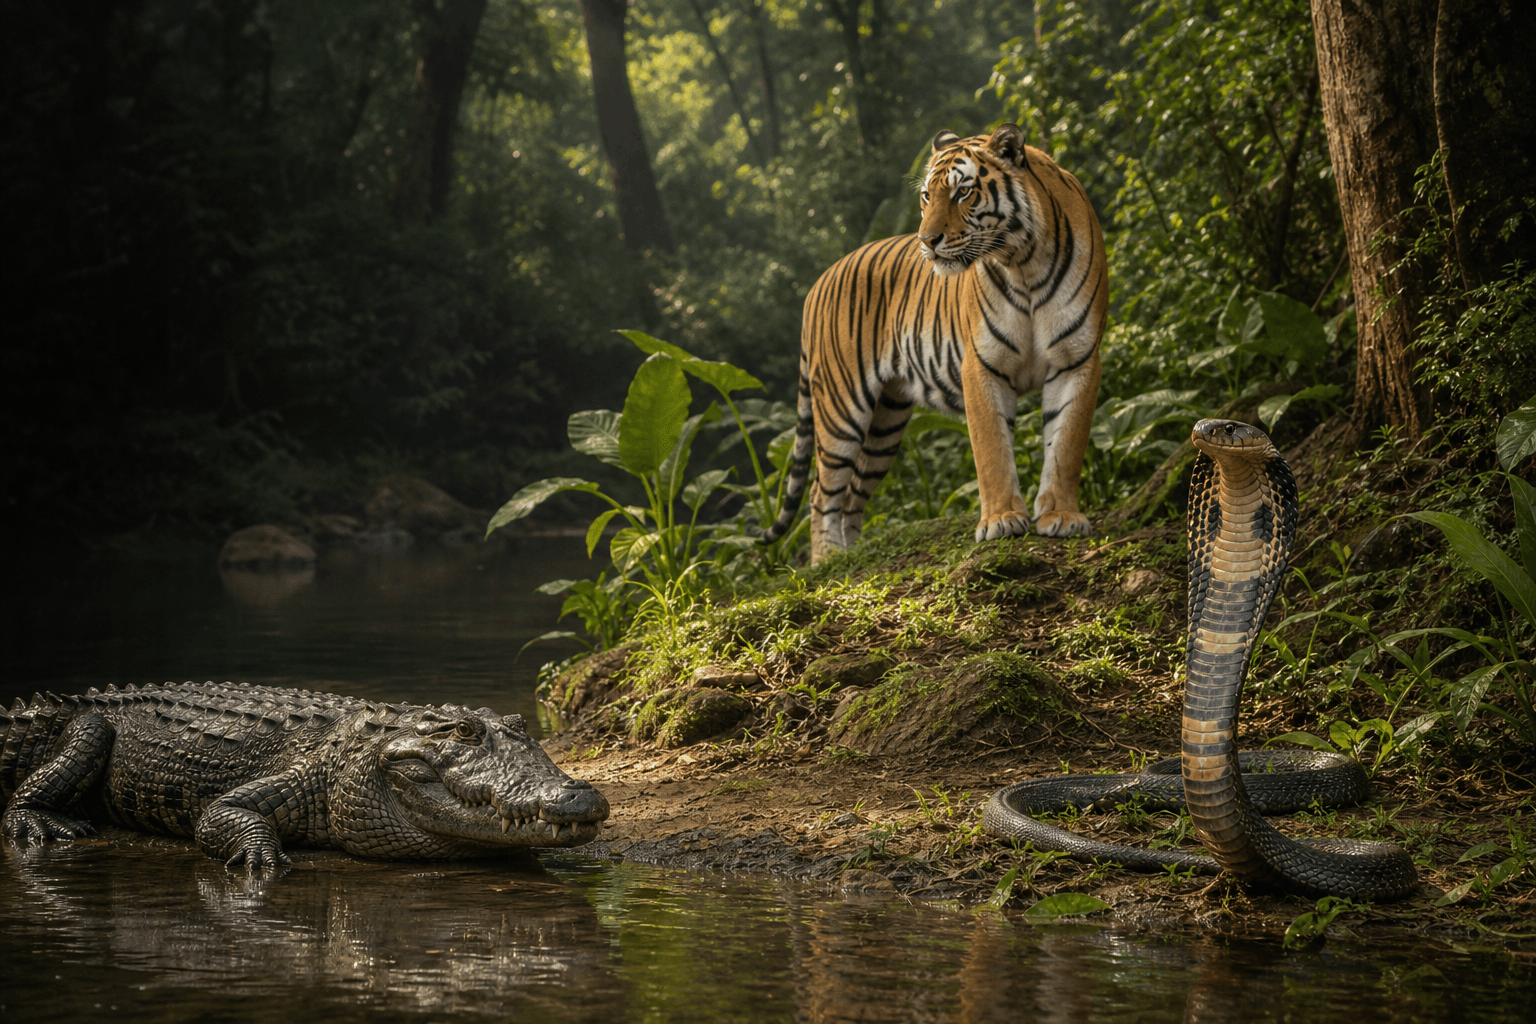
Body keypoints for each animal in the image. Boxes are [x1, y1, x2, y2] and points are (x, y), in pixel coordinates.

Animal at [759, 123, 1108, 563]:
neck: (1024, 262)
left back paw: (853, 553)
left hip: (886, 423)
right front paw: (1001, 521)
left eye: (963, 192)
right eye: (927, 196)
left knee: (853, 492)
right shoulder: (982, 363)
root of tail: (817, 284)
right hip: (842, 408)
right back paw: (828, 559)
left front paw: (1061, 516)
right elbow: (991, 449)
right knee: (822, 492)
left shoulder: (1076, 359)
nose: (927, 240)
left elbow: (1066, 443)